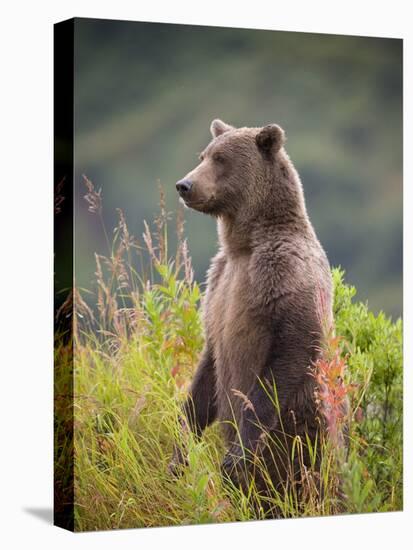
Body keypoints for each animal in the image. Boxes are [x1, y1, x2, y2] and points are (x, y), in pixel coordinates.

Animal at [169, 118, 334, 512]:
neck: (244, 246)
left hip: (306, 436)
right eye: (203, 155)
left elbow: (290, 351)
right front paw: (179, 452)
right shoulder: (218, 286)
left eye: (221, 159)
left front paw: (235, 457)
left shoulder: (285, 276)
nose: (184, 185)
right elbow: (207, 369)